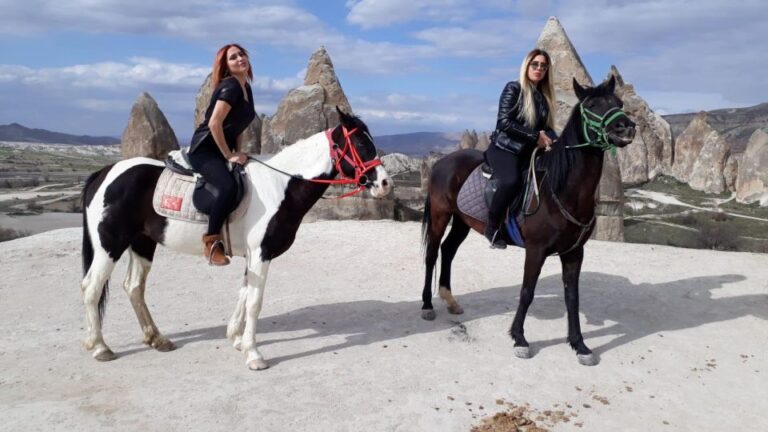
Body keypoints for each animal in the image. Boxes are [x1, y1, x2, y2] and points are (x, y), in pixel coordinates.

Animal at [79, 109, 390, 370]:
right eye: (361, 144)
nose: (385, 183)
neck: (279, 186)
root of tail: (104, 173)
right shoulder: (261, 253)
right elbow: (254, 302)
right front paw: (254, 354)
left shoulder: (253, 256)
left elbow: (243, 294)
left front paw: (237, 340)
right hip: (110, 245)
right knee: (92, 287)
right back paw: (100, 347)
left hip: (142, 243)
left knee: (133, 287)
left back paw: (157, 338)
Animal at [420, 77, 636, 364]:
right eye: (590, 105)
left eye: (619, 103)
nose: (626, 127)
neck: (560, 190)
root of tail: (441, 162)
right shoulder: (536, 250)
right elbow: (527, 292)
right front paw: (519, 339)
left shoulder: (574, 253)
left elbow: (572, 297)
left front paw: (579, 345)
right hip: (440, 215)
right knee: (432, 253)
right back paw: (427, 305)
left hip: (462, 221)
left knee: (448, 250)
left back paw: (450, 300)